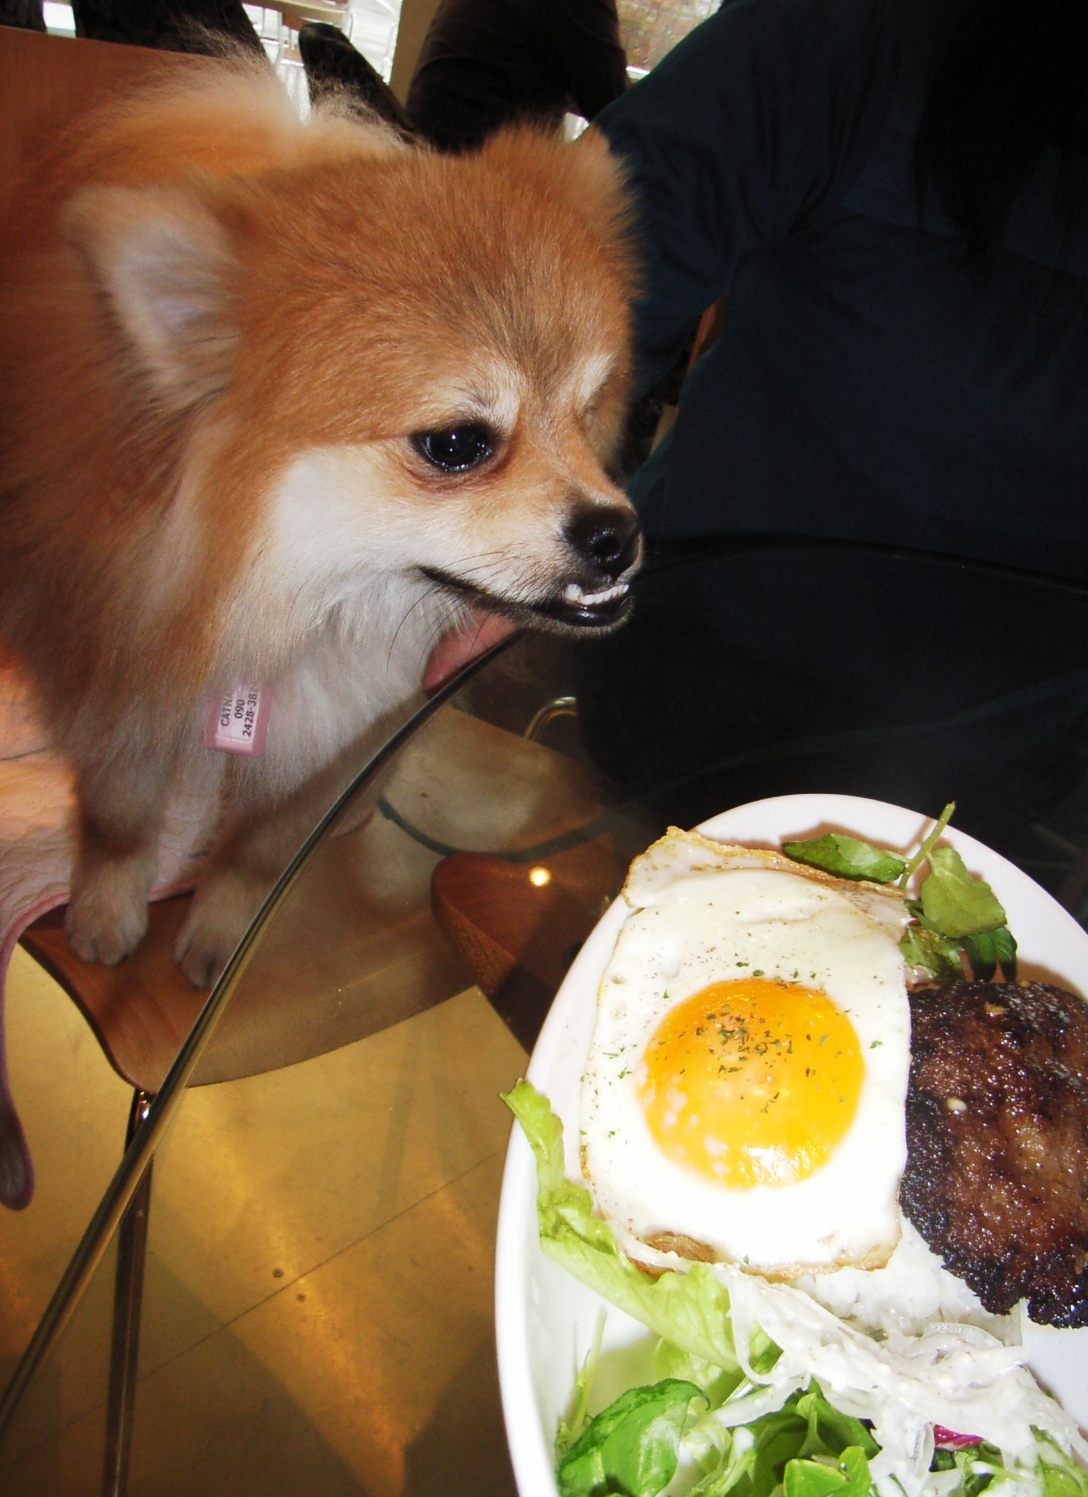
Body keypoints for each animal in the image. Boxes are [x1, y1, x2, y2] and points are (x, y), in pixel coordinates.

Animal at [0, 65, 641, 988]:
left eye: (590, 413)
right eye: (456, 444)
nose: (616, 533)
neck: (274, 600)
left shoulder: (339, 726)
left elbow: (260, 852)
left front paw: (220, 936)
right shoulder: (117, 675)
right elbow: (120, 816)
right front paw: (105, 910)